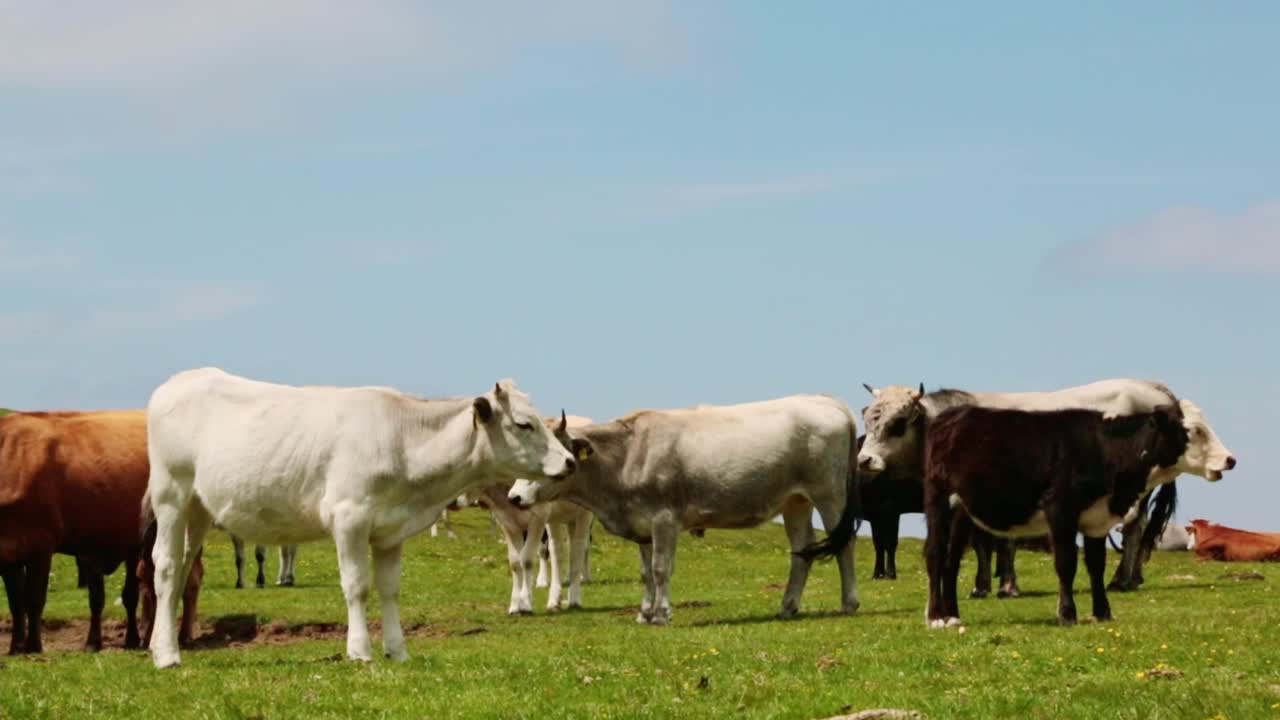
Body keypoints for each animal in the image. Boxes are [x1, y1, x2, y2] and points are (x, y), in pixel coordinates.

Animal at [1, 410, 149, 654]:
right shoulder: (10, 553)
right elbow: (16, 603)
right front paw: (15, 647)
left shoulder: (41, 547)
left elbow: (34, 600)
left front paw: (33, 646)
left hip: (136, 543)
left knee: (133, 594)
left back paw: (133, 639)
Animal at [144, 367, 576, 669]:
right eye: (523, 423)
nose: (570, 461)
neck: (402, 442)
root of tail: (180, 380)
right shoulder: (348, 518)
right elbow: (357, 587)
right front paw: (359, 650)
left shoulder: (391, 531)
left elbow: (389, 589)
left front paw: (397, 649)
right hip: (172, 495)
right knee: (165, 567)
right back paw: (167, 655)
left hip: (199, 509)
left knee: (183, 567)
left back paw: (161, 644)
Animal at [507, 395, 861, 625]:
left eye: (556, 452)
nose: (514, 496)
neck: (628, 455)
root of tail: (826, 400)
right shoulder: (642, 526)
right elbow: (646, 572)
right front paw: (644, 613)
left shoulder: (664, 519)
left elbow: (661, 569)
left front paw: (662, 614)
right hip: (795, 501)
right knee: (802, 551)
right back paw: (787, 606)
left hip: (829, 494)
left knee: (844, 545)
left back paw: (849, 602)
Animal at [922, 400, 1234, 628]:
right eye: (1194, 430)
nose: (1230, 459)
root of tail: (953, 414)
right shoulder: (1059, 510)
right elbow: (1066, 564)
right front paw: (1067, 614)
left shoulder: (1096, 519)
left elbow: (1096, 566)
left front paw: (1102, 612)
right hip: (938, 500)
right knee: (936, 555)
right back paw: (936, 616)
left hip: (963, 511)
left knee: (952, 560)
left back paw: (953, 615)